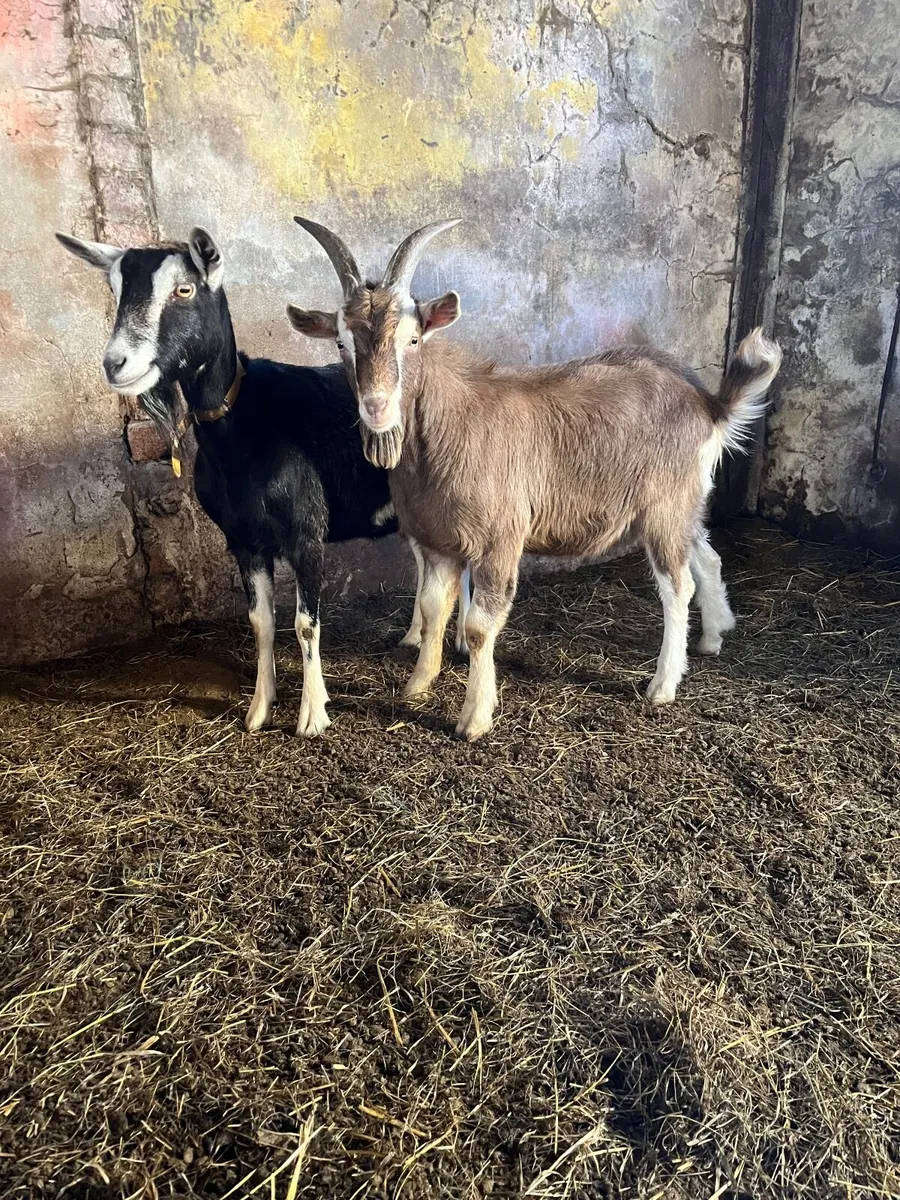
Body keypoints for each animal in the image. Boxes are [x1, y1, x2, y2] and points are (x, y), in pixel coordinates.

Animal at [56, 226, 451, 735]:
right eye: (115, 289)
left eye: (184, 289)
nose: (117, 364)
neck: (242, 429)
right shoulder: (242, 540)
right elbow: (260, 621)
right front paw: (259, 708)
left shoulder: (307, 534)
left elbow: (306, 624)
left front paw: (312, 715)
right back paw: (416, 637)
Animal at [287, 218, 782, 740]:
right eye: (342, 342)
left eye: (414, 339)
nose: (377, 407)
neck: (452, 424)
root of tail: (709, 405)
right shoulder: (438, 540)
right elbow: (432, 607)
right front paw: (417, 685)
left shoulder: (500, 538)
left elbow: (480, 626)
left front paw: (474, 718)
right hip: (684, 502)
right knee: (706, 556)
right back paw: (712, 637)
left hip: (665, 506)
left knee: (677, 585)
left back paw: (663, 684)